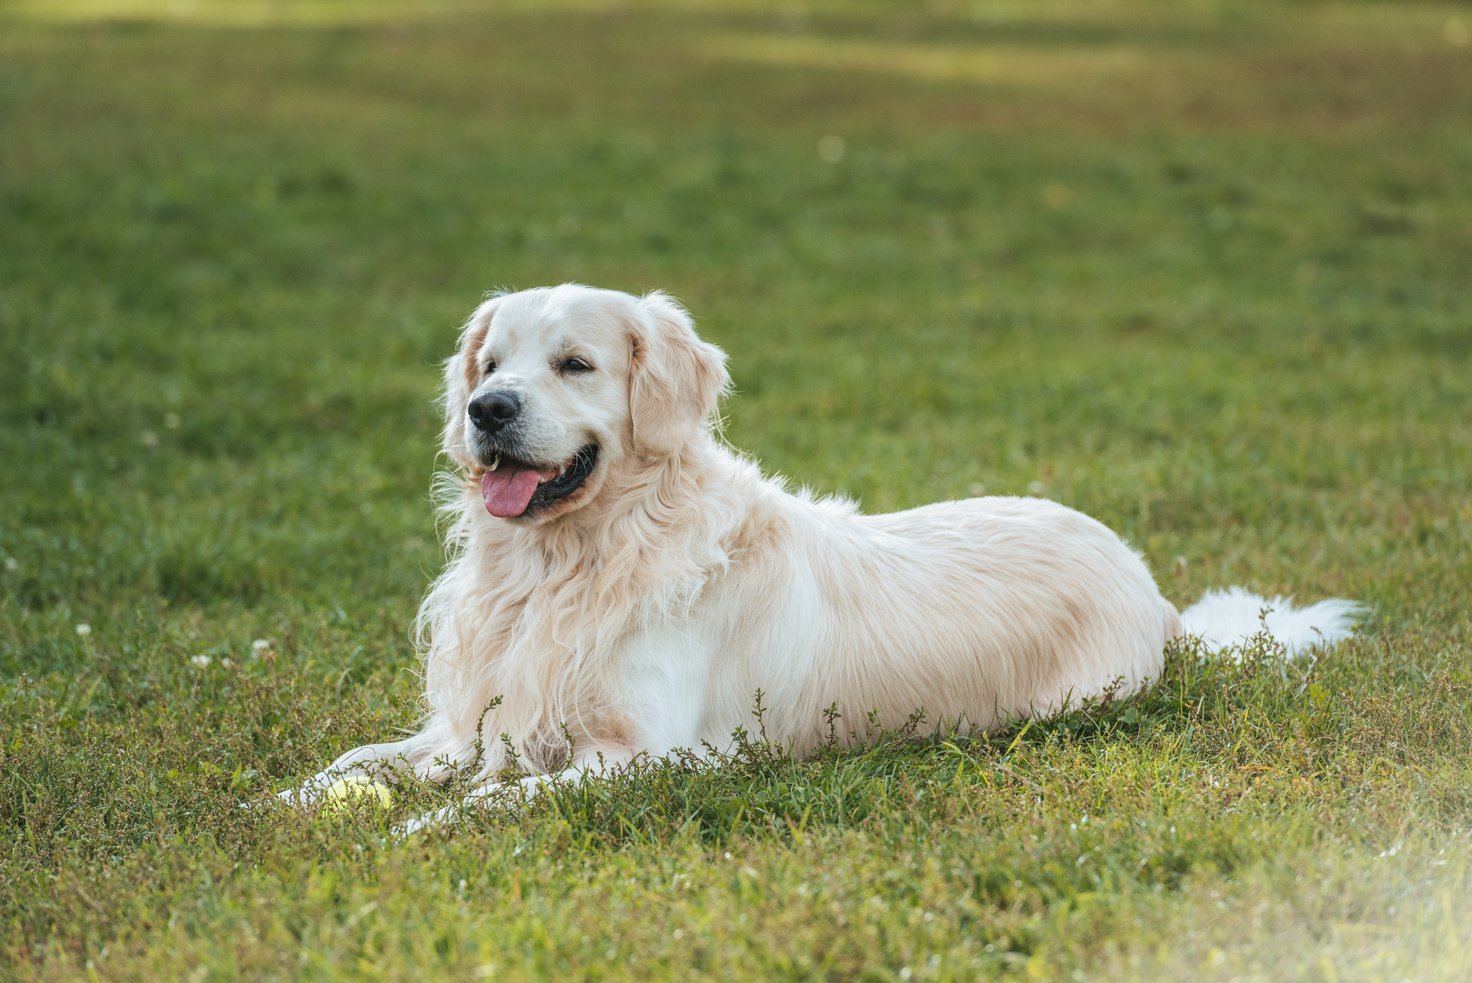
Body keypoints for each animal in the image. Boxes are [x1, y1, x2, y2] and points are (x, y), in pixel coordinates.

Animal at [278, 282, 1366, 829]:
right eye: (490, 360)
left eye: (574, 363)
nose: (486, 409)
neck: (573, 560)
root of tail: (1149, 584)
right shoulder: (474, 720)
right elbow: (357, 758)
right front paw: (288, 799)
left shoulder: (653, 751)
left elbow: (494, 799)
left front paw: (416, 828)